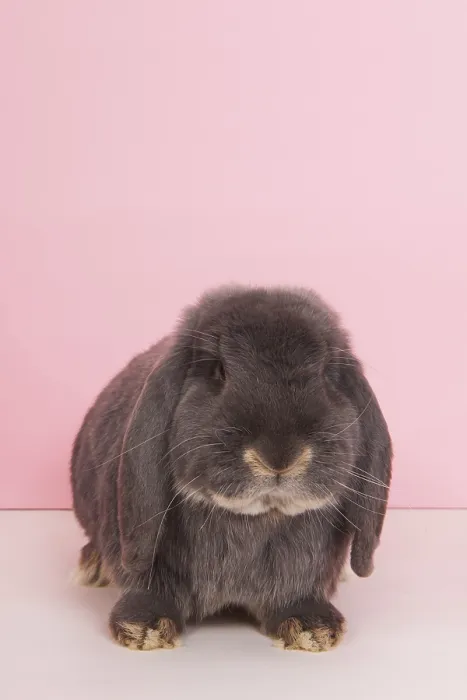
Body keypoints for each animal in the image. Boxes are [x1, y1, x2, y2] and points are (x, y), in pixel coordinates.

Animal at [71, 285, 392, 652]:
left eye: (325, 374)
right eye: (219, 371)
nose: (279, 456)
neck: (253, 518)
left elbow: (298, 593)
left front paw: (313, 629)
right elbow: (145, 584)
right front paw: (143, 628)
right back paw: (92, 569)